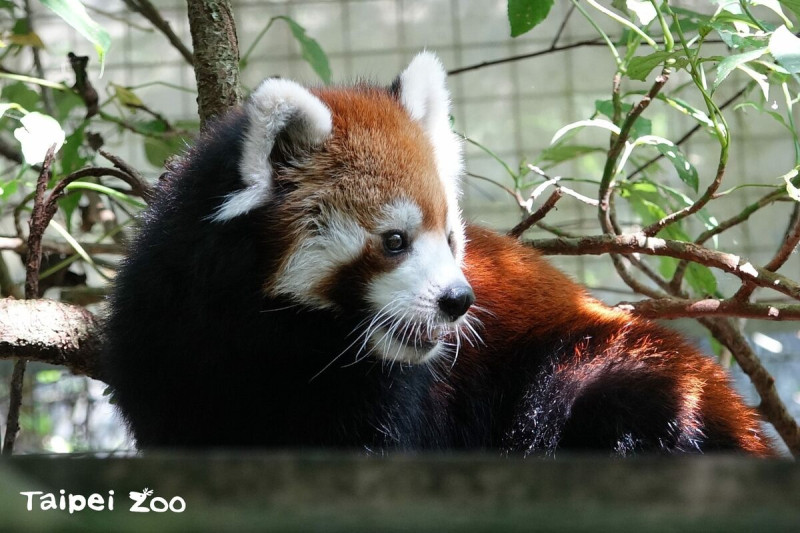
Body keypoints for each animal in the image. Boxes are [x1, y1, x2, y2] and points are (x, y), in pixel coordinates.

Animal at [103, 53, 772, 454]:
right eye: (395, 241)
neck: (286, 345)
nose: (459, 300)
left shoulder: (395, 399)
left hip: (608, 370)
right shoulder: (165, 352)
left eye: (450, 239)